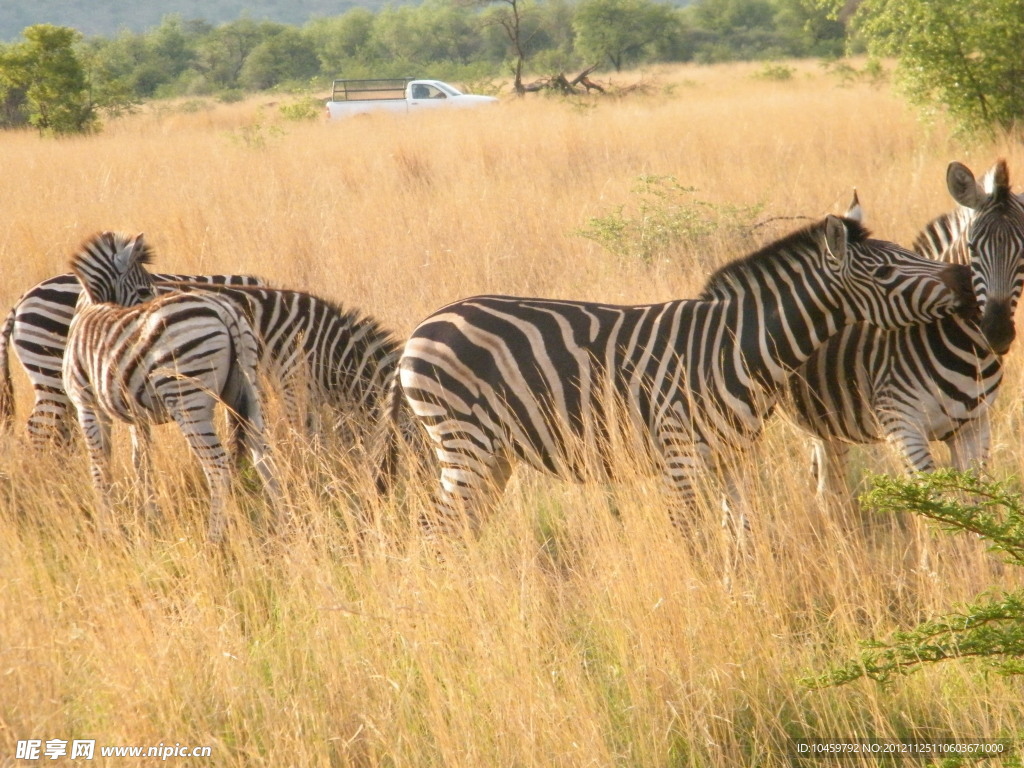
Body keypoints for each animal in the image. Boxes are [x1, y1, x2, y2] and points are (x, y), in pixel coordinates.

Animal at [63, 231, 280, 544]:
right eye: (143, 291)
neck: (90, 308)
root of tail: (225, 310)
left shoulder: (87, 404)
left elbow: (99, 465)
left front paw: (107, 528)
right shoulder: (137, 417)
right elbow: (141, 463)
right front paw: (149, 517)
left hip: (188, 400)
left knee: (218, 465)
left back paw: (214, 537)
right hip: (248, 387)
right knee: (263, 455)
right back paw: (283, 523)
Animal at [380, 214, 970, 536]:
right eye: (887, 270)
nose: (963, 277)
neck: (737, 349)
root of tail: (420, 329)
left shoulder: (735, 455)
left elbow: (741, 531)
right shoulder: (678, 456)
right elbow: (693, 538)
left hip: (492, 454)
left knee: (461, 525)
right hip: (466, 442)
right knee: (437, 527)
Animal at [782, 160, 1024, 499]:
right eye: (972, 248)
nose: (997, 332)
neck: (969, 349)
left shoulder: (975, 428)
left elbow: (973, 504)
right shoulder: (901, 425)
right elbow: (936, 503)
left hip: (828, 424)